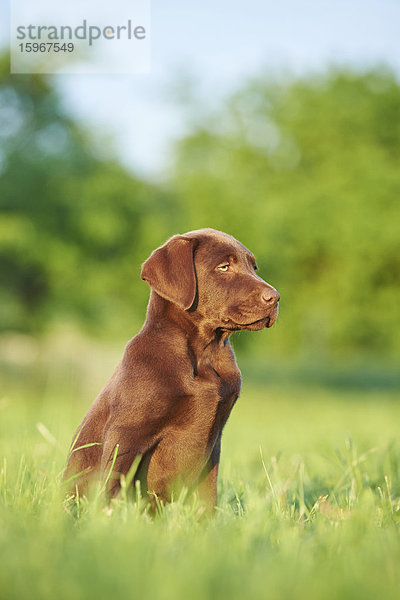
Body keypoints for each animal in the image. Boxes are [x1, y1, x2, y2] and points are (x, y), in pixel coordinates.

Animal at [64, 230, 280, 510]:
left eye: (254, 267)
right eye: (224, 267)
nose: (275, 298)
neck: (205, 354)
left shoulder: (214, 441)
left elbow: (207, 499)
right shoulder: (126, 433)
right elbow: (113, 485)